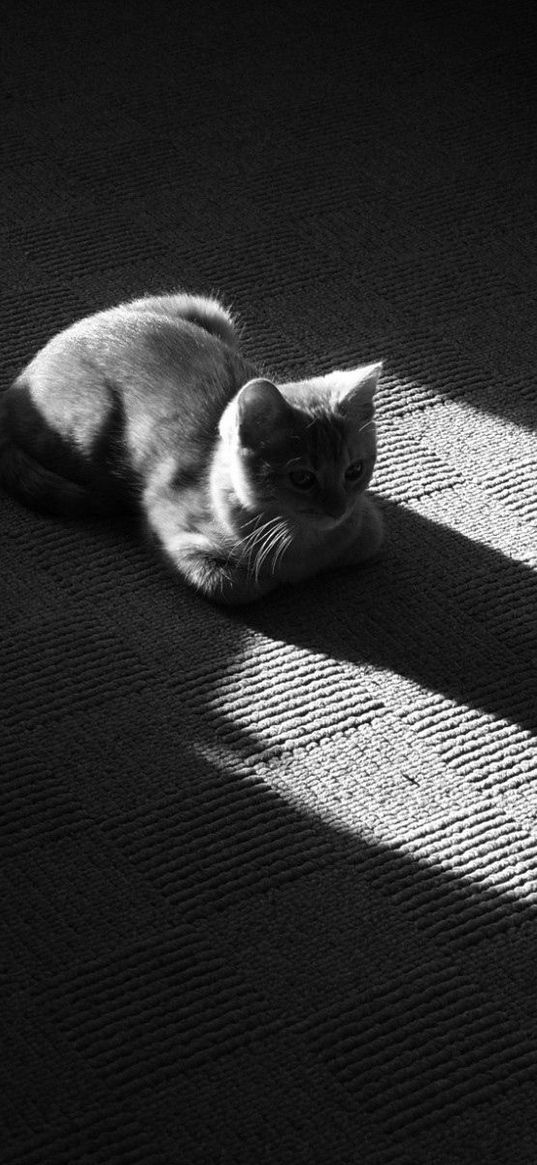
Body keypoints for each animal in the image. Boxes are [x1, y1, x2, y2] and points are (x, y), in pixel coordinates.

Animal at [0, 291, 384, 605]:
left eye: (355, 471)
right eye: (302, 477)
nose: (337, 509)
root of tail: (18, 381)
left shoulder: (366, 526)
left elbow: (369, 539)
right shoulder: (173, 538)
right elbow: (237, 585)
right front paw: (272, 579)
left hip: (207, 309)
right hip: (90, 429)